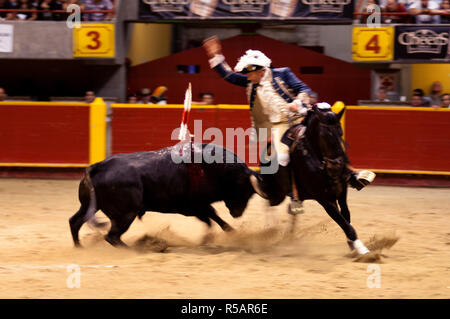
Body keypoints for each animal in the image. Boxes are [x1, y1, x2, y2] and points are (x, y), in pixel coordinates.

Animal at [251, 106, 370, 256]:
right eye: (325, 135)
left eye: (340, 133)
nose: (336, 166)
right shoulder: (324, 199)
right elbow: (343, 222)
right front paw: (362, 249)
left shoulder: (342, 193)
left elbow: (346, 216)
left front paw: (352, 244)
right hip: (277, 193)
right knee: (266, 200)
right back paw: (271, 229)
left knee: (289, 210)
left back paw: (289, 236)